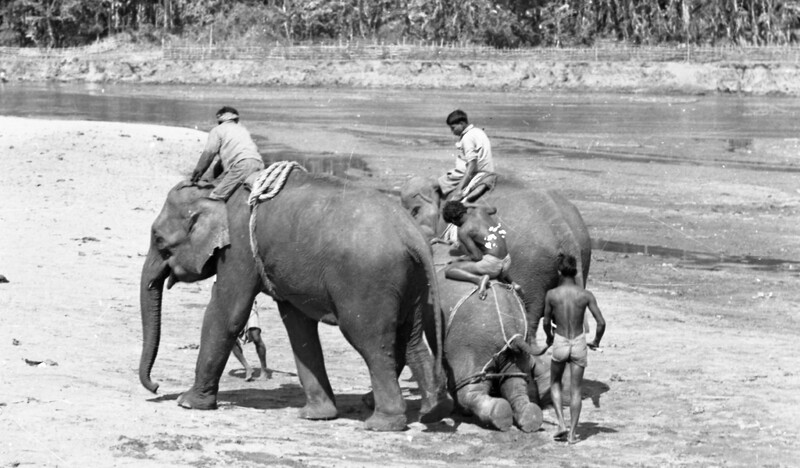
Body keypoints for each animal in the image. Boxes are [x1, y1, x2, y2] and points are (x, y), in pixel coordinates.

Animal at [139, 164, 452, 431]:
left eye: (159, 241)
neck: (217, 190)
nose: (156, 387)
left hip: (369, 283)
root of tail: (413, 234)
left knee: (372, 341)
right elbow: (298, 325)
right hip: (414, 283)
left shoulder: (239, 248)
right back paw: (433, 413)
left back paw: (383, 423)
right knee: (411, 339)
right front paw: (317, 415)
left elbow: (227, 312)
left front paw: (188, 403)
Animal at [433, 244, 548, 432]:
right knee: (515, 384)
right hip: (512, 354)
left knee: (470, 389)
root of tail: (510, 330)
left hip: (471, 346)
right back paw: (529, 418)